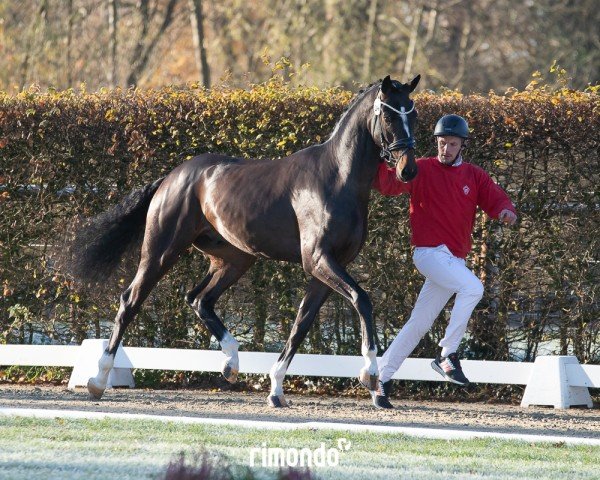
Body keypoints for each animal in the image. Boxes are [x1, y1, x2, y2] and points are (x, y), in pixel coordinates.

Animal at [72, 74, 420, 404]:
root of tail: (172, 176)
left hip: (236, 258)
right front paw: (370, 374)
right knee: (131, 300)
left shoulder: (328, 267)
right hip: (161, 251)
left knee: (199, 299)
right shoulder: (318, 259)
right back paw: (98, 380)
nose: (409, 170)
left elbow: (301, 324)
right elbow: (362, 299)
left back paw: (231, 364)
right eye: (390, 115)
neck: (337, 179)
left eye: (412, 114)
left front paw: (276, 389)